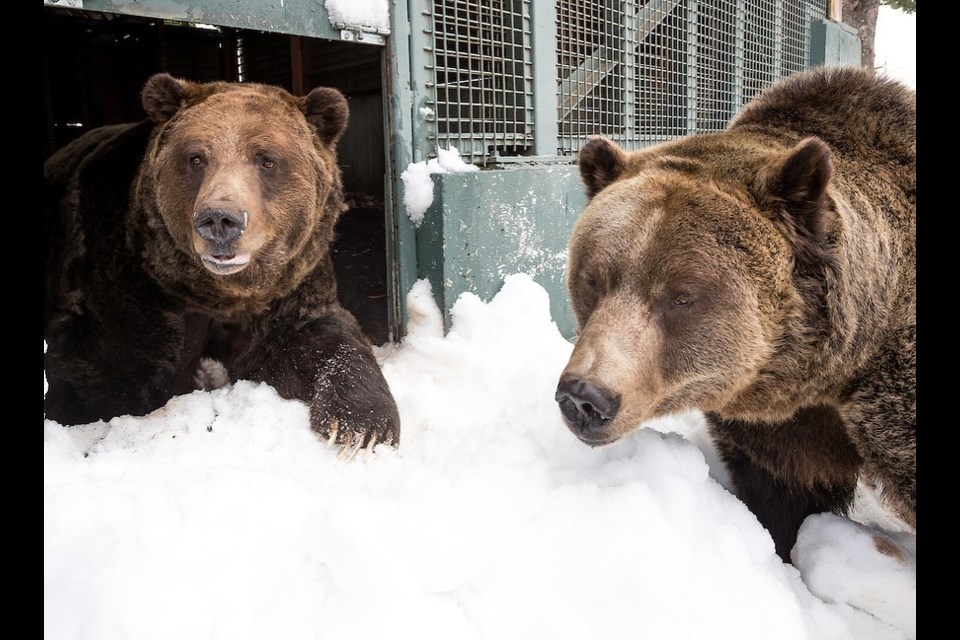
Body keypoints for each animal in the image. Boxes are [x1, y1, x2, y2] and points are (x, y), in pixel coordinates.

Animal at [42, 72, 398, 452]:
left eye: (267, 160)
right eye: (196, 158)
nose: (220, 219)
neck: (218, 293)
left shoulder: (289, 282)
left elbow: (320, 338)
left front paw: (363, 426)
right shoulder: (130, 283)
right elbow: (111, 372)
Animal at [556, 66, 916, 560]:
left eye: (681, 297)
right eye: (594, 278)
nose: (585, 395)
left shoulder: (891, 396)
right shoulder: (778, 429)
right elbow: (784, 496)